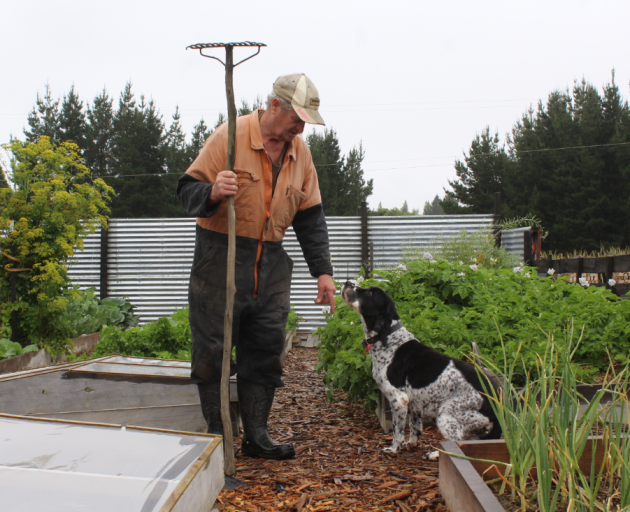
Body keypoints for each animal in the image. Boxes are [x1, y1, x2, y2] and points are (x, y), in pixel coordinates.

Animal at [344, 282, 502, 454]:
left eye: (370, 293)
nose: (347, 283)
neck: (390, 340)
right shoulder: (415, 404)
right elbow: (415, 427)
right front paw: (411, 444)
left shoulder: (399, 400)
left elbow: (398, 431)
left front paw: (393, 449)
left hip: (445, 414)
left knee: (457, 443)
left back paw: (435, 454)